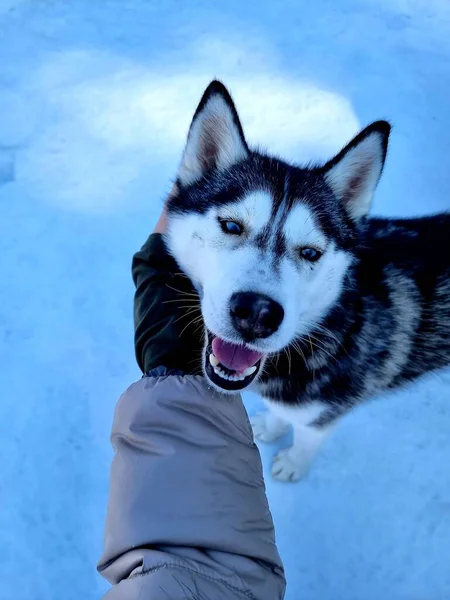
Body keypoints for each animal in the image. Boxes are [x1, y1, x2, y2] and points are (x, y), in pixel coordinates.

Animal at [165, 81, 450, 482]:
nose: (258, 313)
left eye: (311, 253)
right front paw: (272, 426)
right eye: (232, 225)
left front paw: (292, 463)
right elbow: (282, 416)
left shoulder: (323, 416)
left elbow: (306, 440)